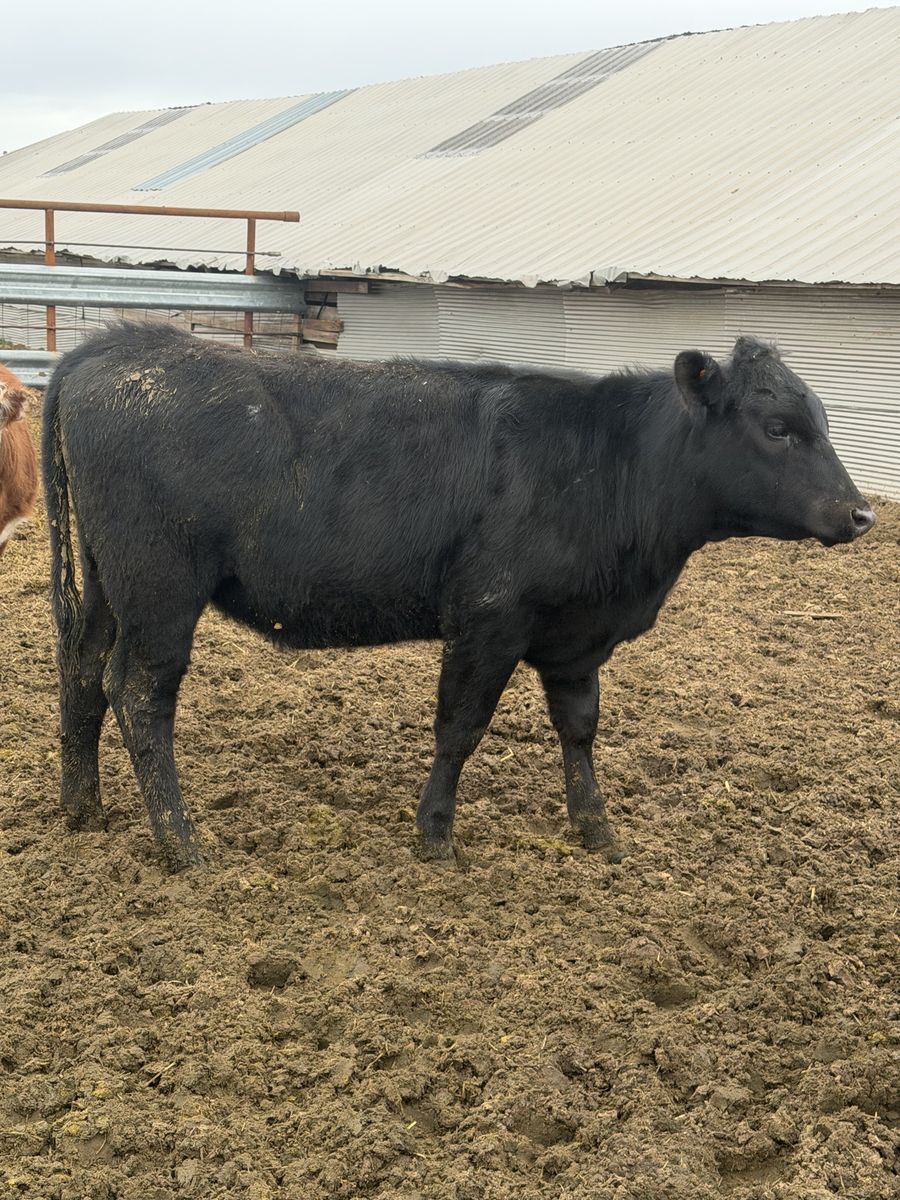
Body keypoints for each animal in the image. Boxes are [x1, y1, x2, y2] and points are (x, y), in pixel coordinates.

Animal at [43, 323, 875, 871]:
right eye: (777, 427)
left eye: (823, 421)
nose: (862, 513)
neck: (608, 466)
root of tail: (116, 344)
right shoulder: (486, 617)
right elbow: (460, 728)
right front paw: (436, 836)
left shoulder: (576, 636)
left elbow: (580, 728)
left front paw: (597, 829)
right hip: (160, 590)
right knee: (137, 694)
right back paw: (180, 844)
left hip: (108, 584)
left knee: (81, 672)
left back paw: (82, 809)